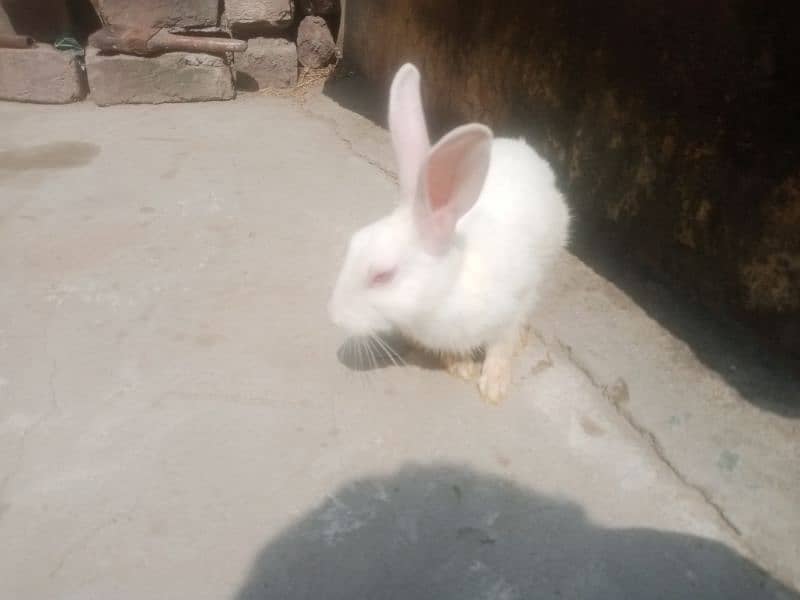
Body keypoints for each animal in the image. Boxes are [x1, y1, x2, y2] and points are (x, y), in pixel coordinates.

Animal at [330, 63, 568, 404]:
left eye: (383, 276)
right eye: (353, 244)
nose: (333, 315)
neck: (445, 292)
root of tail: (526, 151)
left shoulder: (513, 305)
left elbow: (501, 346)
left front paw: (493, 386)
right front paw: (462, 368)